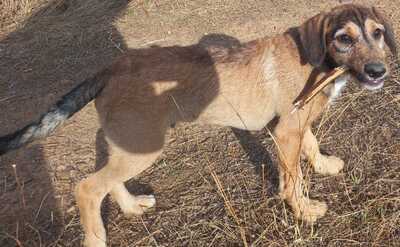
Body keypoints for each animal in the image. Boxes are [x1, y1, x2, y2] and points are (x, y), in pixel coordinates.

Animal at [0, 3, 394, 247]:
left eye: (377, 33)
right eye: (344, 38)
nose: (379, 71)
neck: (319, 61)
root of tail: (110, 69)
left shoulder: (292, 124)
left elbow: (310, 146)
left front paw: (324, 166)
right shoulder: (286, 131)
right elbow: (293, 178)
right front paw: (304, 210)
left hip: (128, 143)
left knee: (105, 181)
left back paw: (131, 206)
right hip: (143, 148)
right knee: (87, 188)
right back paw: (97, 239)